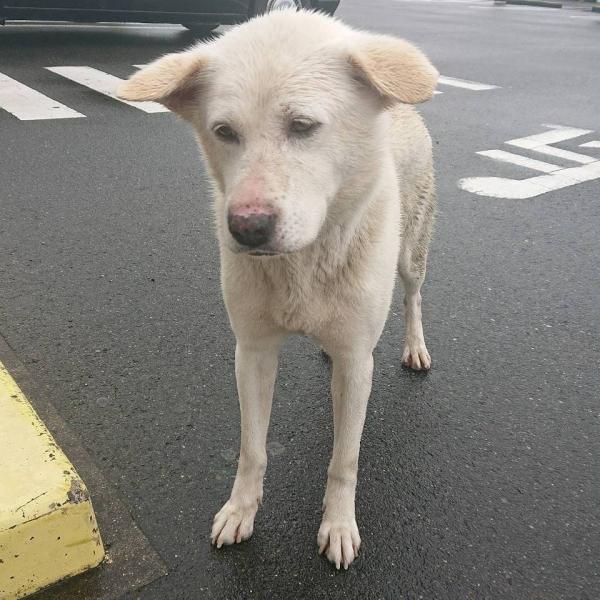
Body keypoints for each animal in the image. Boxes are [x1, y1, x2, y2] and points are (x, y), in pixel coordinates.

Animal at [118, 10, 436, 572]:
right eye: (224, 132)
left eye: (303, 126)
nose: (247, 228)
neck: (302, 263)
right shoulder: (252, 351)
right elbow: (253, 447)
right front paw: (241, 510)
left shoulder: (358, 360)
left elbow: (344, 458)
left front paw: (338, 525)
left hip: (411, 253)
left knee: (413, 296)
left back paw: (414, 346)